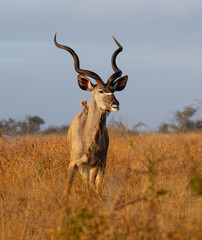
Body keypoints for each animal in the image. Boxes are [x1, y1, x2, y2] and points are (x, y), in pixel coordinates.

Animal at [53, 33, 128, 199]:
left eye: (113, 90)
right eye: (100, 90)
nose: (115, 104)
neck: (88, 140)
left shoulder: (96, 163)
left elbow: (92, 187)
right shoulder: (74, 163)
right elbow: (67, 189)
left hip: (101, 164)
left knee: (96, 185)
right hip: (84, 167)